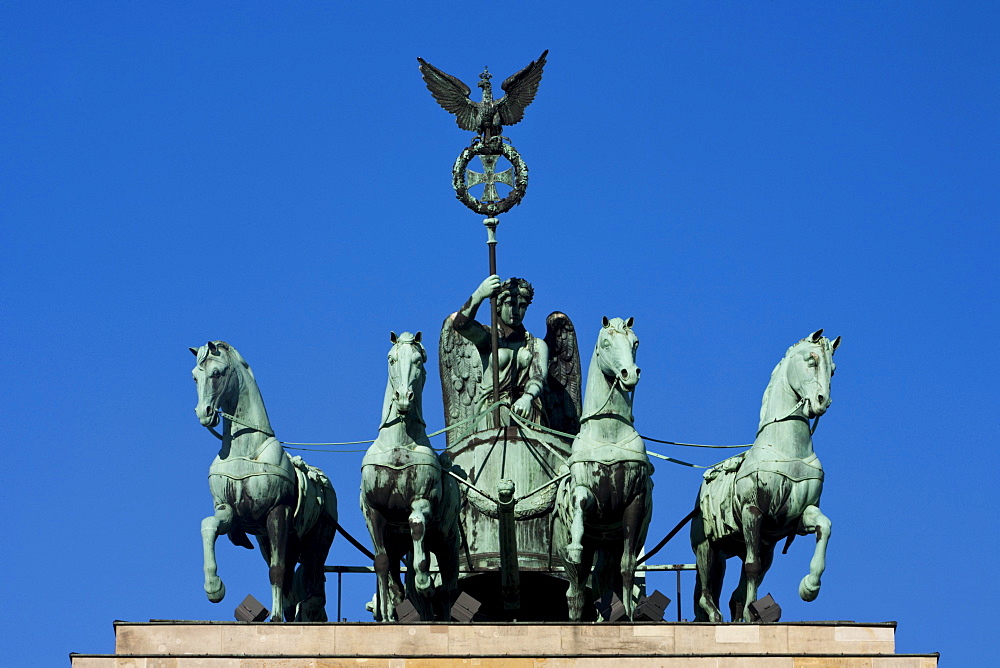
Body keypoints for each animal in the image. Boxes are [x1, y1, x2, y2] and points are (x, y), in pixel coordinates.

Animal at [189, 342, 338, 624]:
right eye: (194, 376)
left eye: (216, 373)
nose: (204, 414)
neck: (245, 450)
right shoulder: (229, 511)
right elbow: (208, 525)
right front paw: (214, 587)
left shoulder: (278, 512)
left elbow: (276, 570)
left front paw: (276, 617)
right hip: (271, 541)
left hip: (316, 541)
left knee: (308, 575)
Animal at [360, 332, 460, 620]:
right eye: (391, 359)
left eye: (419, 359)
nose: (404, 396)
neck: (398, 443)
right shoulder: (372, 512)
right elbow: (381, 562)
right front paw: (386, 614)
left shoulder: (422, 501)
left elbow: (416, 524)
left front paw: (425, 581)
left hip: (448, 542)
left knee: (448, 588)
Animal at [556, 318, 656, 620]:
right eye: (606, 342)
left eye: (635, 342)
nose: (629, 373)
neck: (609, 434)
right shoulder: (589, 494)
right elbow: (579, 500)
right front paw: (576, 541)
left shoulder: (634, 503)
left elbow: (627, 567)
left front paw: (630, 616)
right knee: (575, 592)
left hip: (607, 547)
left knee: (601, 582)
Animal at [692, 328, 840, 620]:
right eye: (811, 360)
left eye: (834, 369)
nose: (822, 402)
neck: (786, 449)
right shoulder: (752, 511)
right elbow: (752, 566)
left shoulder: (795, 517)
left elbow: (825, 526)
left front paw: (810, 586)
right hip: (709, 547)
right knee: (706, 589)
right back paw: (715, 616)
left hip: (762, 545)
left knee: (738, 589)